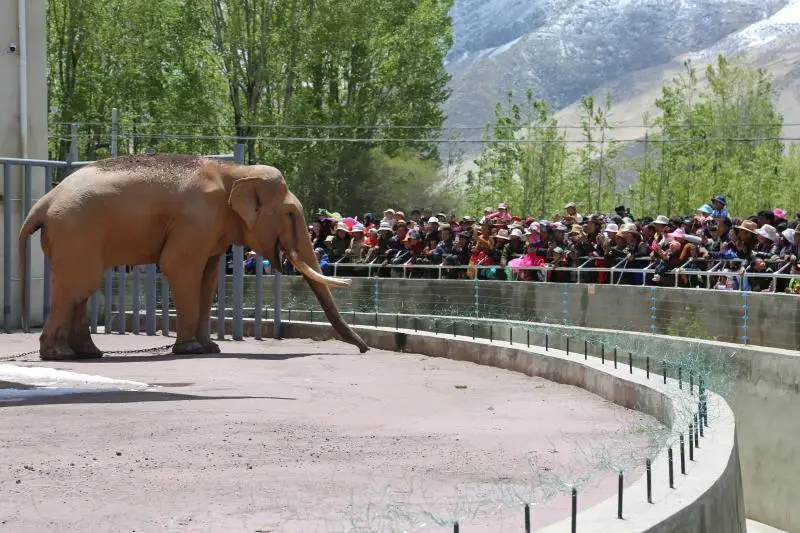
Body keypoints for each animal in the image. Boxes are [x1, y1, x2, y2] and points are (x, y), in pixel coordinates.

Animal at [18, 154, 368, 362]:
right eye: (292, 214)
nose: (363, 349)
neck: (233, 172)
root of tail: (42, 203)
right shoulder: (197, 219)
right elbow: (178, 266)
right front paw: (189, 349)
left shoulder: (211, 228)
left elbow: (209, 277)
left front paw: (210, 348)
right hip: (76, 229)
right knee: (79, 284)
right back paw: (58, 355)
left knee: (82, 287)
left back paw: (88, 354)